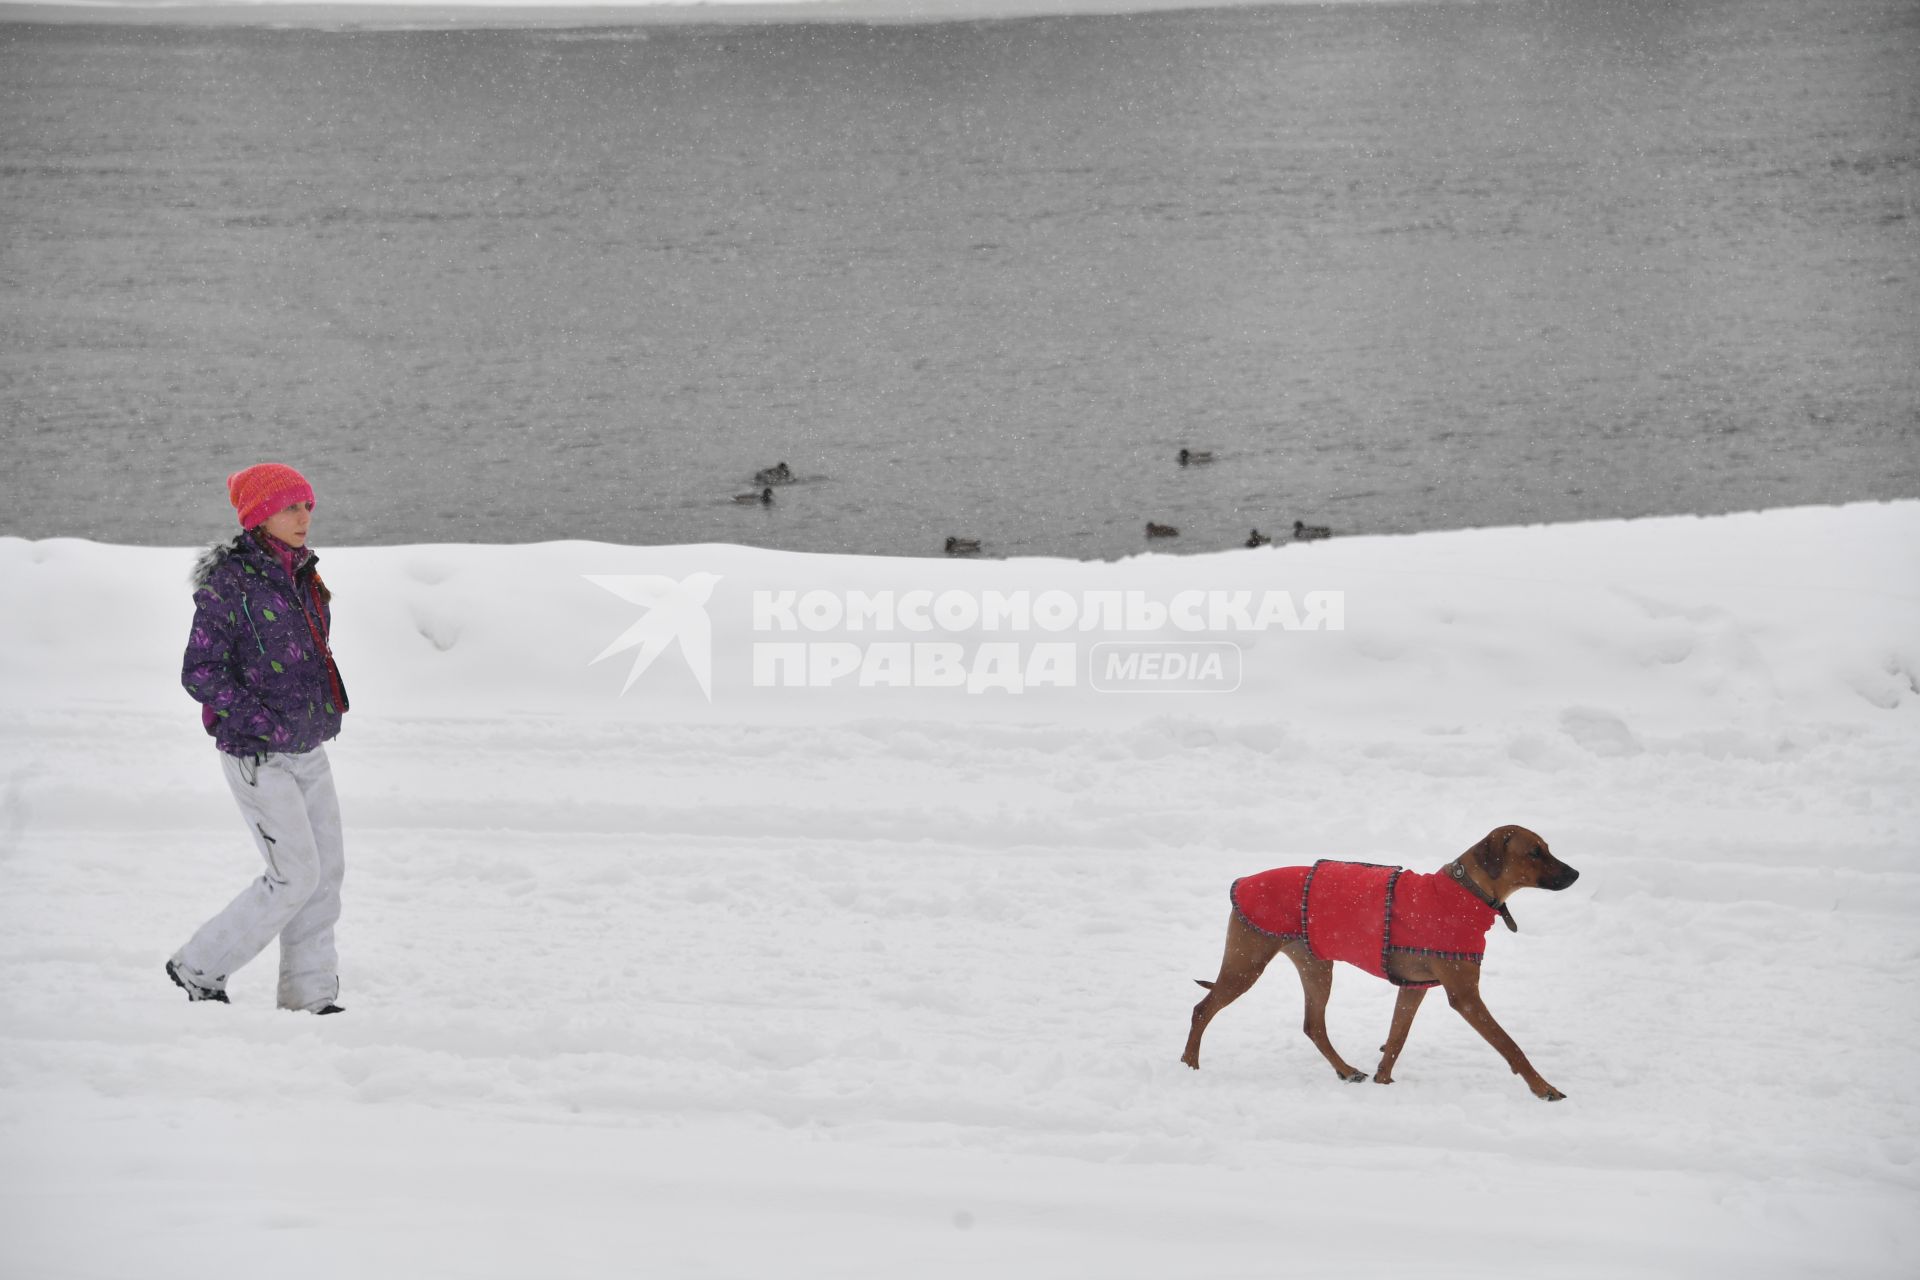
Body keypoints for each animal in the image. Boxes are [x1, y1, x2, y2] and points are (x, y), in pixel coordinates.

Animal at [1182, 832, 1574, 1105]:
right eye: (1534, 852)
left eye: (1547, 847)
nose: (1576, 873)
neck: (1465, 894)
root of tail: (1245, 880)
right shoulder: (1465, 996)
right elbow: (1510, 1045)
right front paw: (1544, 1088)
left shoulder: (1414, 987)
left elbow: (1397, 1038)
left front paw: (1383, 1081)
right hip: (1247, 962)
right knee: (1202, 1009)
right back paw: (1189, 1065)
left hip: (1315, 966)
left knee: (1313, 1025)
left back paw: (1346, 1070)